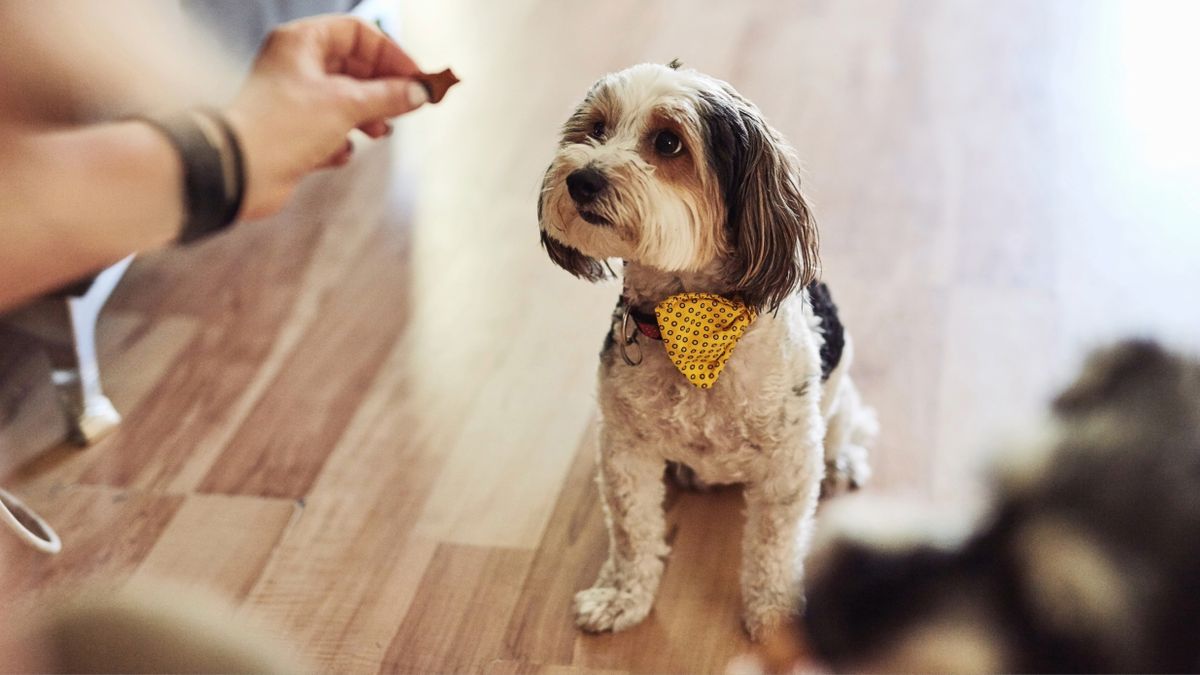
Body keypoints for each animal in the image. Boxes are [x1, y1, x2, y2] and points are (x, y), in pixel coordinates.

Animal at [540, 61, 878, 634]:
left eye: (668, 142)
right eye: (596, 129)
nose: (581, 178)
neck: (689, 327)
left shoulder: (789, 461)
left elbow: (774, 545)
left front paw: (775, 614)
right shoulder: (624, 448)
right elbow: (632, 531)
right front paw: (621, 596)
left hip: (835, 408)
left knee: (843, 431)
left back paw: (842, 465)